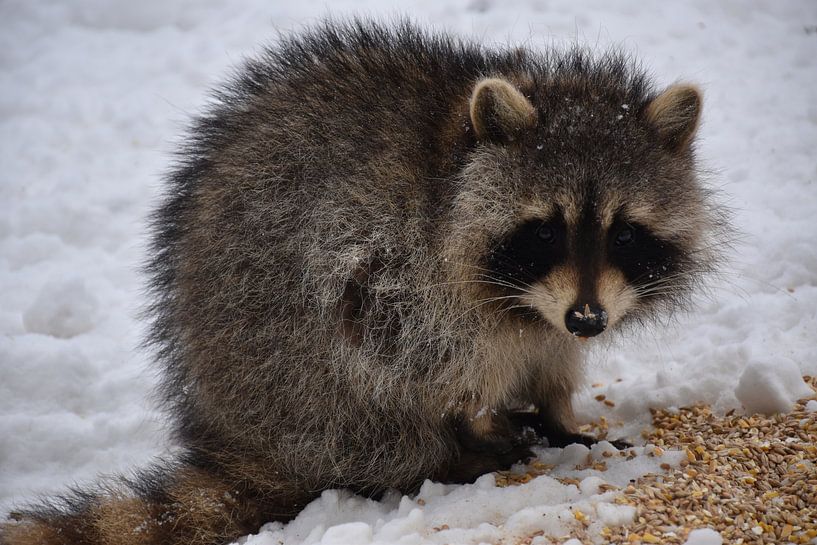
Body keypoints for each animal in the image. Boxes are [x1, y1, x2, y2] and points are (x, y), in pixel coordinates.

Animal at [2, 19, 723, 545]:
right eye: (544, 231)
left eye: (624, 233)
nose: (587, 320)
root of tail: (243, 432)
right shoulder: (411, 264)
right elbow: (432, 354)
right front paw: (486, 420)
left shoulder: (557, 308)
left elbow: (551, 356)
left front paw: (555, 410)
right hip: (302, 364)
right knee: (368, 358)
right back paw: (454, 448)